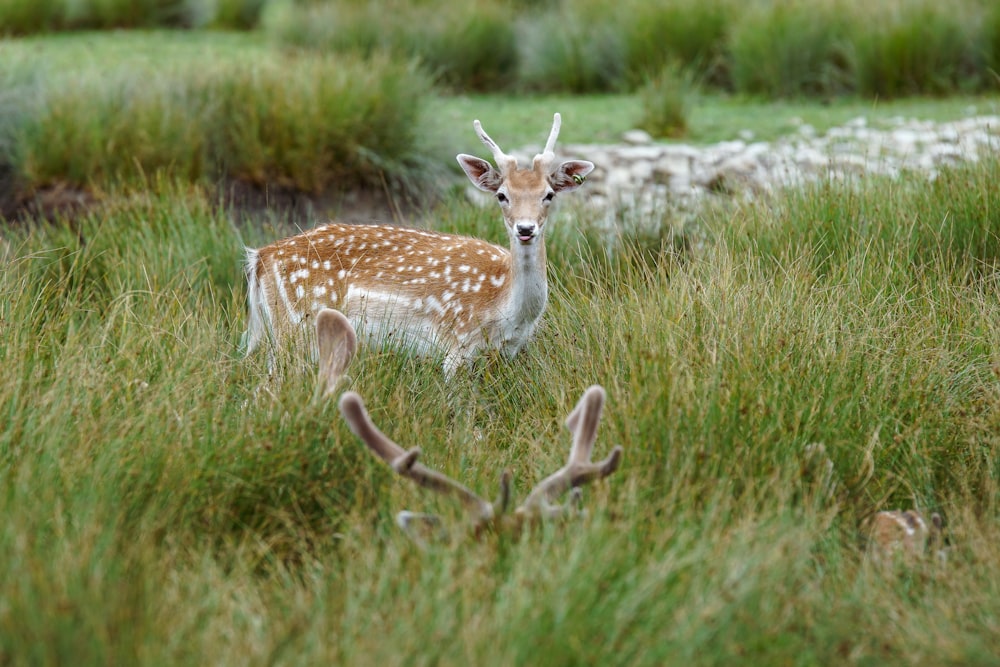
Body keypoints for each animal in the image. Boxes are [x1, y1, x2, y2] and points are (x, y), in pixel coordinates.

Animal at [243, 111, 592, 374]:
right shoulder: (456, 345)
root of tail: (260, 257)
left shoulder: (509, 353)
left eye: (549, 194)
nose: (525, 228)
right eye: (501, 195)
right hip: (294, 328)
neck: (507, 311)